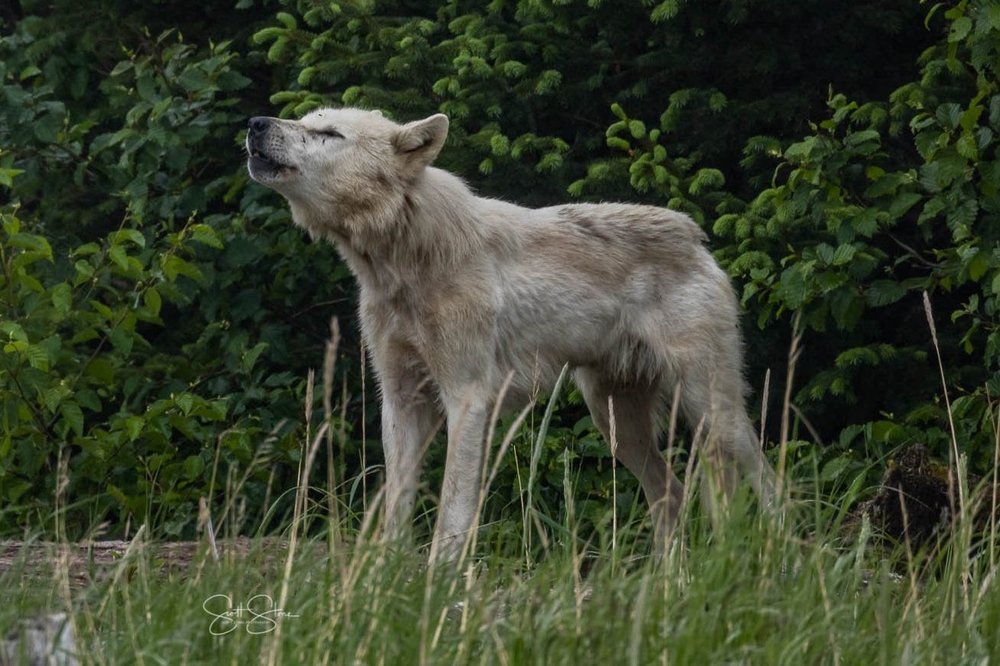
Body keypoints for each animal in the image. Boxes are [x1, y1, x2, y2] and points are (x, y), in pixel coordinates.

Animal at [245, 107, 776, 563]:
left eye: (329, 133)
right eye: (304, 119)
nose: (254, 123)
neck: (402, 262)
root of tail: (697, 238)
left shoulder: (467, 398)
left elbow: (452, 509)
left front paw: (439, 582)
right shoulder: (401, 400)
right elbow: (397, 503)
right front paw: (381, 574)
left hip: (713, 412)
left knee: (769, 482)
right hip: (617, 426)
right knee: (673, 494)